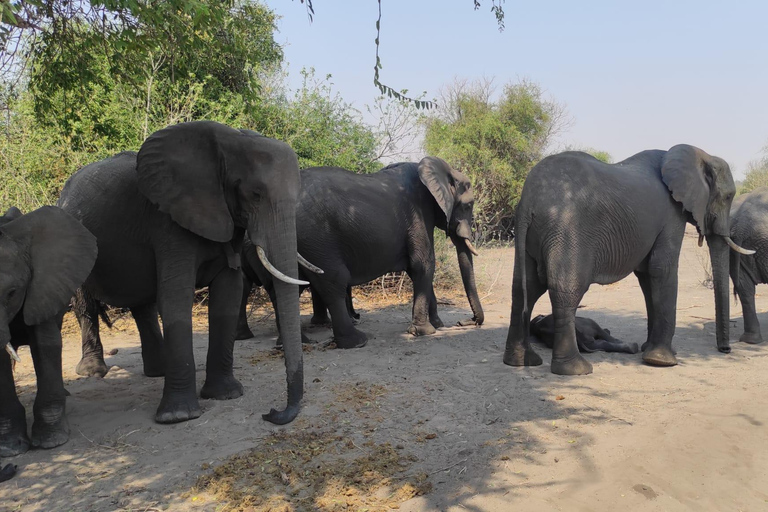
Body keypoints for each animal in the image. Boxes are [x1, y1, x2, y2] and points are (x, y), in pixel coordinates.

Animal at [57, 120, 308, 424]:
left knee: (143, 305)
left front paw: (226, 395)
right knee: (86, 306)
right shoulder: (168, 221)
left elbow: (228, 294)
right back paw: (93, 371)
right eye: (255, 194)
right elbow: (176, 298)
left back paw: (158, 371)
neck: (229, 142)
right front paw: (178, 416)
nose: (271, 412)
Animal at [237, 156, 484, 348]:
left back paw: (297, 343)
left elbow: (419, 269)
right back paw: (357, 341)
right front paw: (426, 332)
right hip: (316, 236)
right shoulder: (418, 214)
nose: (466, 322)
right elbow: (423, 265)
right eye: (468, 205)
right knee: (333, 280)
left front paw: (437, 325)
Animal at [504, 144, 752, 376]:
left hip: (533, 234)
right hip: (567, 228)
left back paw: (521, 361)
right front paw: (662, 361)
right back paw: (576, 370)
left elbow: (647, 276)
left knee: (524, 289)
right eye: (728, 197)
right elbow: (662, 269)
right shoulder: (671, 214)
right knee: (566, 291)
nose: (726, 349)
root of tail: (528, 200)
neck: (698, 154)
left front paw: (649, 350)